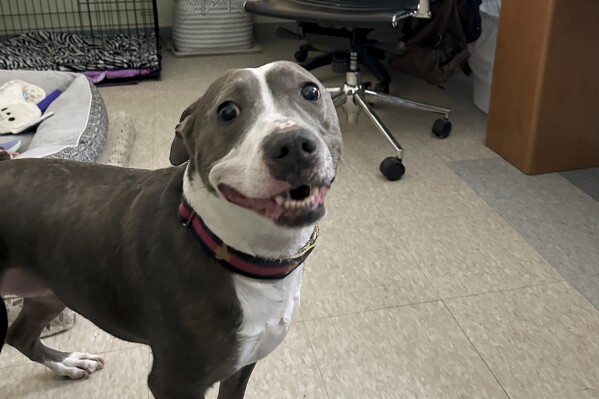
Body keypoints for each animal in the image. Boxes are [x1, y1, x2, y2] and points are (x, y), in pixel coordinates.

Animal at [0, 61, 342, 398]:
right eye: (227, 111)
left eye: (311, 91)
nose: (293, 144)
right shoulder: (174, 382)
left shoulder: (242, 367)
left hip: (50, 290)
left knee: (20, 335)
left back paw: (69, 364)